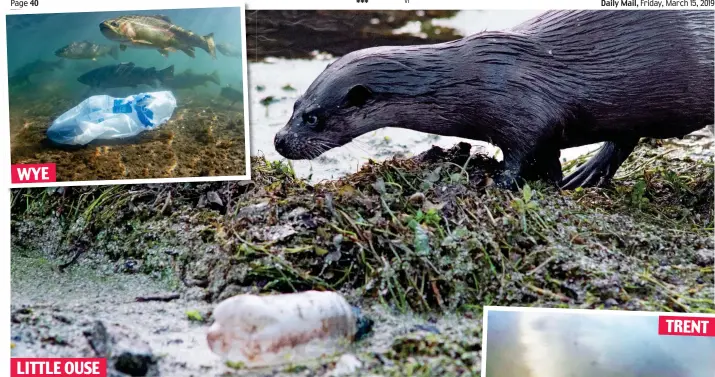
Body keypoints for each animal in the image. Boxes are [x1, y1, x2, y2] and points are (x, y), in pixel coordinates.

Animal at [272, 9, 712, 188]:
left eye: (313, 118)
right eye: (293, 106)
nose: (278, 141)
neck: (474, 78)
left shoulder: (526, 111)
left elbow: (524, 152)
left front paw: (498, 180)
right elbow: (548, 158)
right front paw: (554, 181)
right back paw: (586, 174)